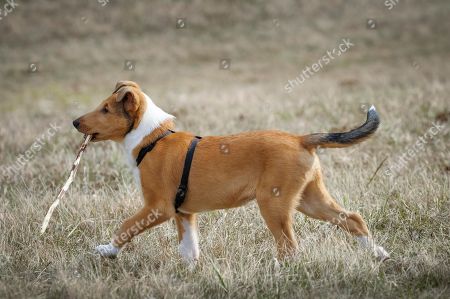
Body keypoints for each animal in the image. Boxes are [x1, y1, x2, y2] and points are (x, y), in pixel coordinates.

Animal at [72, 81, 388, 264]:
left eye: (105, 109)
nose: (75, 122)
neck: (153, 139)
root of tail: (301, 138)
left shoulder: (157, 207)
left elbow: (126, 226)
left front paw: (107, 250)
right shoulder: (183, 212)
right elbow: (189, 248)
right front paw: (190, 273)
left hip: (273, 204)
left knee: (290, 246)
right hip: (309, 200)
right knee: (353, 219)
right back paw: (379, 254)